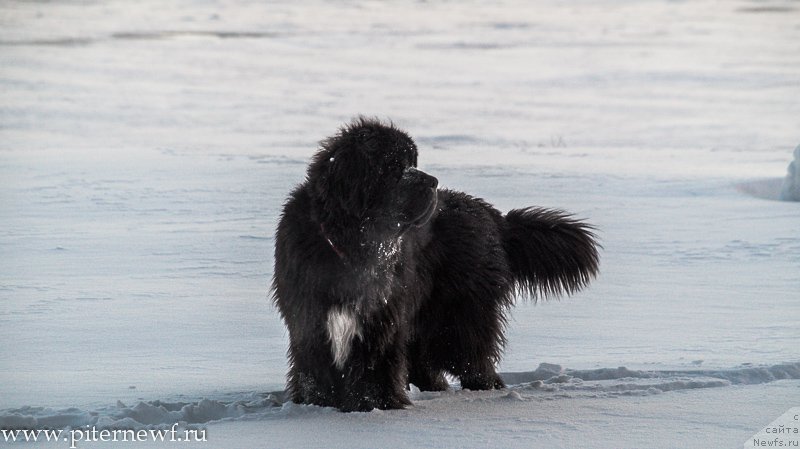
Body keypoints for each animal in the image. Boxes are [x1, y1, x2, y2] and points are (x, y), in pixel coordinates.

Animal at [272, 117, 596, 412]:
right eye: (393, 165)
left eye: (413, 161)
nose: (432, 181)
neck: (352, 245)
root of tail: (494, 216)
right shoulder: (310, 317)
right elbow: (314, 366)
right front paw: (316, 405)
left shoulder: (381, 316)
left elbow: (374, 364)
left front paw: (376, 404)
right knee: (427, 365)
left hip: (459, 318)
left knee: (472, 359)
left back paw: (486, 391)